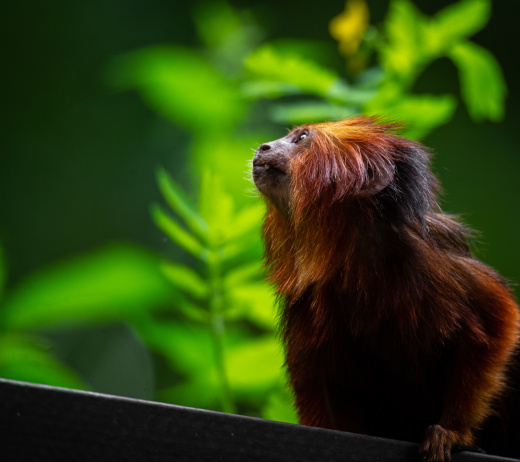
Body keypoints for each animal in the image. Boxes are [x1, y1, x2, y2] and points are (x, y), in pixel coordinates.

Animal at [251, 117, 520, 460]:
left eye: (301, 138)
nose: (264, 147)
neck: (350, 257)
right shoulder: (307, 299)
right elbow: (319, 379)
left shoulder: (437, 262)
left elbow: (498, 323)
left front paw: (453, 432)